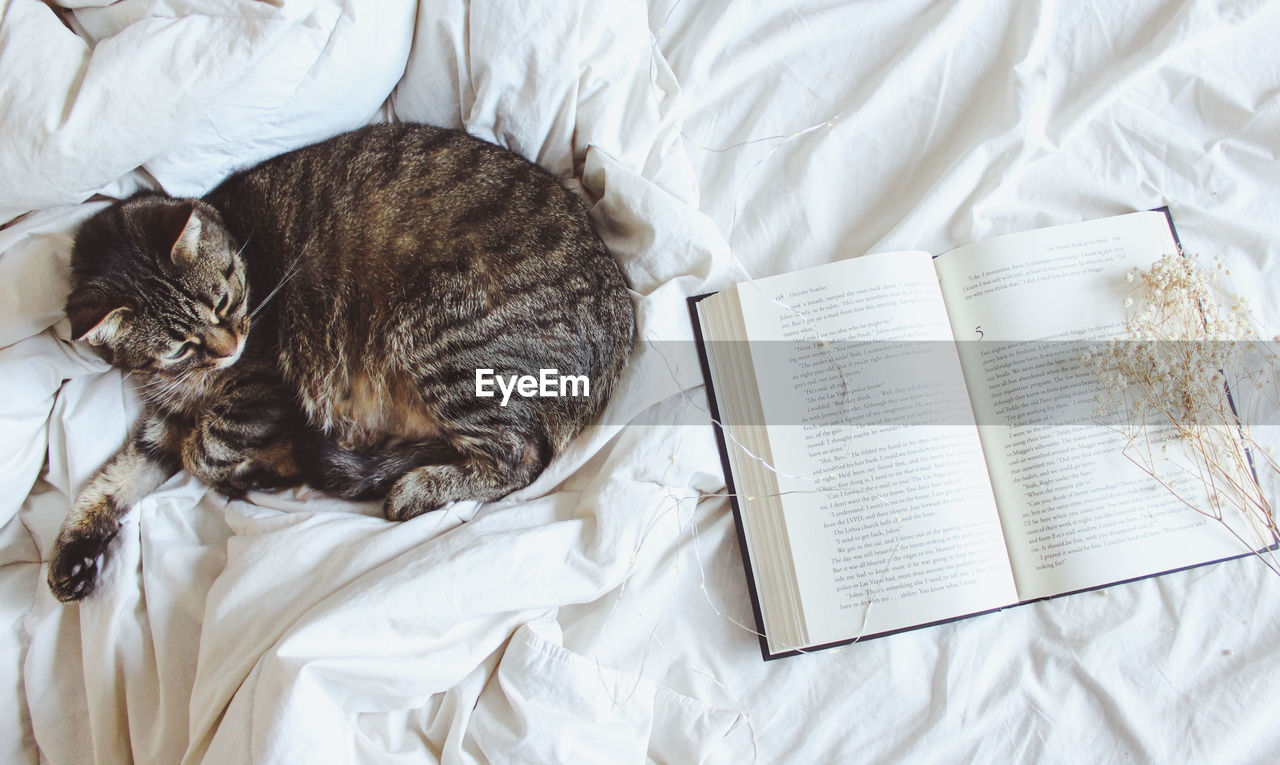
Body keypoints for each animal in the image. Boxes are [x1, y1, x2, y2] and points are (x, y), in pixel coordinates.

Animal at [48, 122, 634, 606]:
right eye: (176, 347)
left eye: (223, 300)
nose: (228, 345)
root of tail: (621, 323)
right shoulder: (165, 416)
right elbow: (120, 475)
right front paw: (74, 551)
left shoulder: (261, 389)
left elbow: (201, 452)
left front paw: (232, 461)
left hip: (440, 340)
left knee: (519, 459)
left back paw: (406, 488)